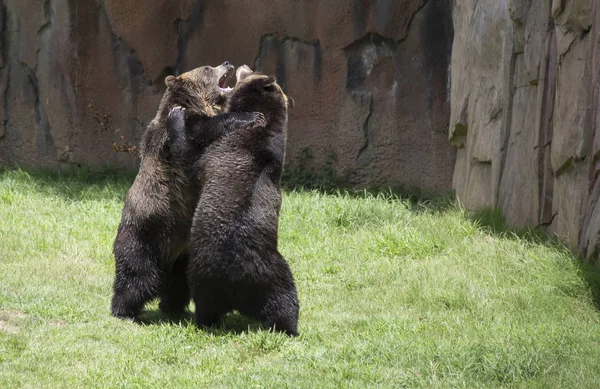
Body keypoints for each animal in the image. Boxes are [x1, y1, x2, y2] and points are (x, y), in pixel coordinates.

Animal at [112, 63, 264, 318]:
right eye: (207, 68)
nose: (227, 63)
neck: (196, 103)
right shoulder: (177, 139)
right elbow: (200, 135)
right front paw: (252, 115)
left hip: (181, 252)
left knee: (178, 283)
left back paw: (173, 308)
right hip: (144, 237)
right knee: (136, 277)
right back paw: (123, 310)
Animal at [166, 65, 300, 334]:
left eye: (251, 71)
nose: (242, 65)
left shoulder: (224, 148)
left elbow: (189, 158)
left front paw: (176, 116)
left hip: (207, 272)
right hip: (264, 281)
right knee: (284, 303)